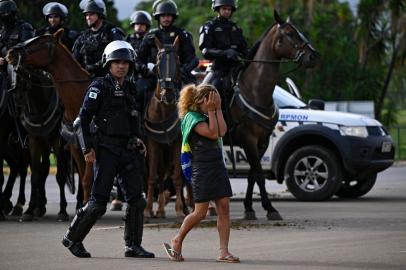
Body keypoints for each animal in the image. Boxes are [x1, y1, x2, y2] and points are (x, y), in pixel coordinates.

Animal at [222, 11, 318, 220]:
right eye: (290, 33)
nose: (313, 56)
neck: (255, 91)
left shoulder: (262, 141)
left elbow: (252, 174)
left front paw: (249, 207)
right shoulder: (248, 139)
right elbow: (258, 173)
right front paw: (270, 208)